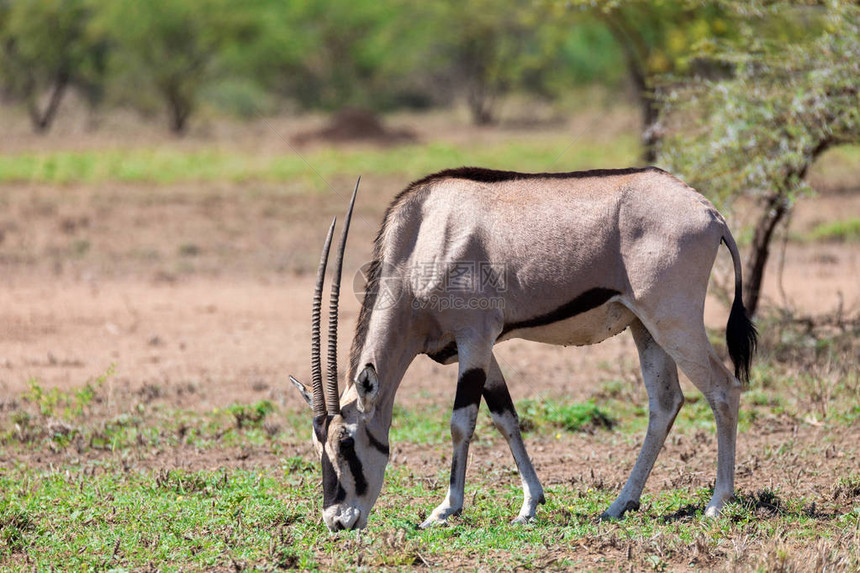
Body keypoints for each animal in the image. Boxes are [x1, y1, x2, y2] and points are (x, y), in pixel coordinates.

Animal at [288, 166, 752, 532]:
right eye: (317, 446)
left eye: (346, 442)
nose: (337, 520)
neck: (424, 234)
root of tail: (709, 212)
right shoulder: (482, 350)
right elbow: (505, 416)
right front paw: (530, 504)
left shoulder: (474, 339)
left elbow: (462, 422)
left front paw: (446, 509)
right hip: (645, 328)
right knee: (665, 402)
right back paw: (620, 504)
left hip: (674, 321)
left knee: (723, 389)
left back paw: (717, 502)